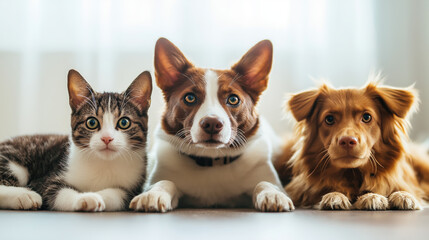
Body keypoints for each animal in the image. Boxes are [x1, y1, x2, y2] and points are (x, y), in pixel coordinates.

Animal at [0, 68, 152, 211]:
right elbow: (56, 191)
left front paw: (100, 195)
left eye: (124, 122)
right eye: (92, 122)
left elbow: (121, 195)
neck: (104, 163)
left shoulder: (135, 185)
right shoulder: (46, 179)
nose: (107, 138)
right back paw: (25, 195)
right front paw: (86, 198)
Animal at [129, 37, 292, 212]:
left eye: (233, 99)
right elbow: (164, 181)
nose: (212, 123)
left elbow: (265, 183)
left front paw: (272, 194)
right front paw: (153, 194)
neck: (212, 160)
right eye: (190, 98)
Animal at [274, 79, 428, 210]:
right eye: (329, 119)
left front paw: (399, 195)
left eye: (366, 117)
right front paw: (335, 195)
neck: (352, 173)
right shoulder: (298, 189)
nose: (347, 140)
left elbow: (405, 189)